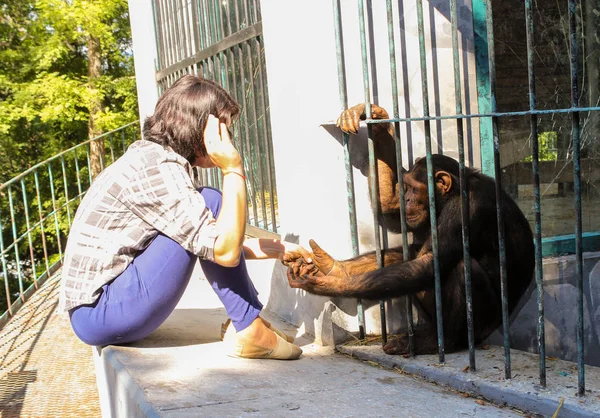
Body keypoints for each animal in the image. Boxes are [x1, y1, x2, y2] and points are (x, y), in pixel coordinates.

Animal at [286, 103, 536, 354]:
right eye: (405, 188)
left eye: (415, 189)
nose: (406, 199)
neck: (453, 193)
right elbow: (392, 209)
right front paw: (377, 118)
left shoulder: (466, 209)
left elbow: (428, 263)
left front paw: (328, 285)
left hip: (483, 327)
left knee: (459, 267)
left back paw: (443, 341)